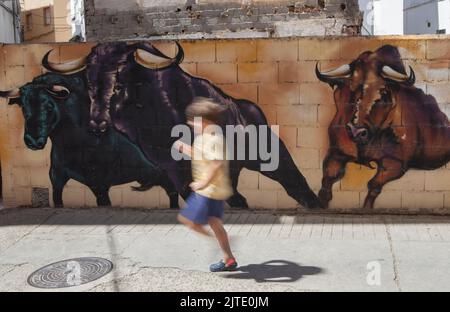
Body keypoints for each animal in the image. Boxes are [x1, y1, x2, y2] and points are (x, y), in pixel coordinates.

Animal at [86, 40, 322, 208]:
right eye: (89, 85)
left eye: (119, 83)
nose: (97, 123)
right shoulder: (173, 167)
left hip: (269, 155)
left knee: (293, 179)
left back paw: (314, 203)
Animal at [316, 44, 450, 210]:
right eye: (350, 87)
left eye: (384, 91)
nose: (356, 131)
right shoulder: (336, 152)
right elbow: (327, 181)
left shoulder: (395, 163)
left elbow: (373, 186)